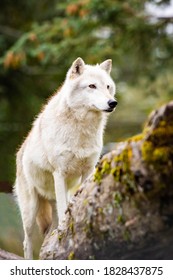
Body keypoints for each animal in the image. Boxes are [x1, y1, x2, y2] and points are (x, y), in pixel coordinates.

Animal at [14, 58, 117, 260]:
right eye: (92, 86)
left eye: (108, 87)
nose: (112, 102)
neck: (81, 130)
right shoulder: (59, 173)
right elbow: (63, 213)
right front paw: (64, 230)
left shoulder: (88, 171)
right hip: (30, 211)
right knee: (27, 242)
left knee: (47, 238)